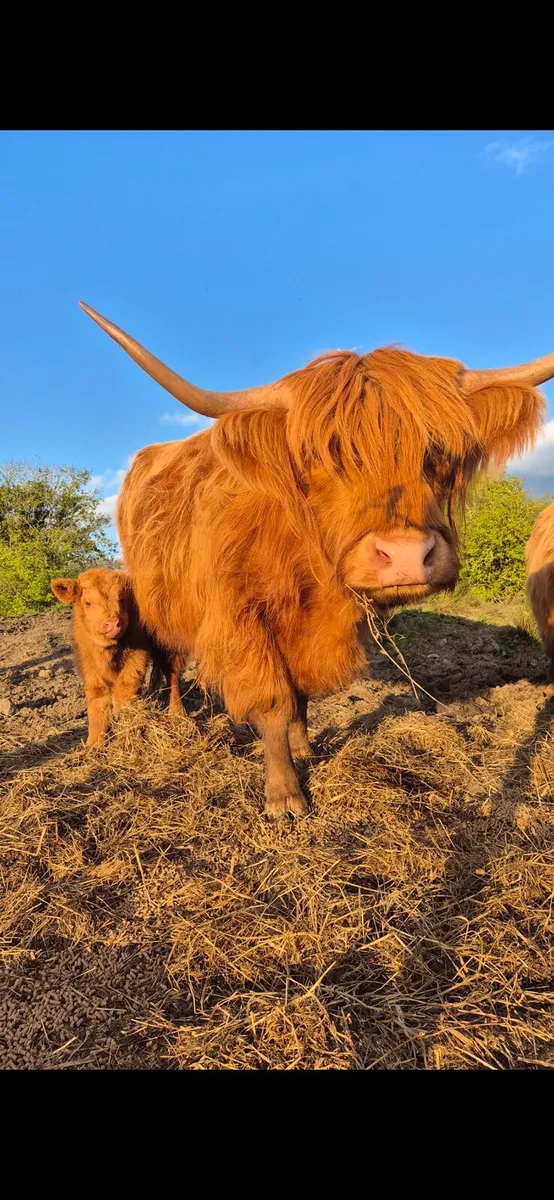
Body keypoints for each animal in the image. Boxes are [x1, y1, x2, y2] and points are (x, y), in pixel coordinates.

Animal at [51, 567, 185, 745]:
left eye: (121, 599)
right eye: (88, 602)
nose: (112, 624)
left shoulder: (136, 658)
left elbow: (124, 692)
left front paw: (127, 730)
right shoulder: (90, 669)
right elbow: (97, 704)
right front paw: (93, 745)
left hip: (167, 645)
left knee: (172, 675)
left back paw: (177, 714)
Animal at [79, 301, 550, 817]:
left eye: (439, 451)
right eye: (323, 457)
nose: (405, 554)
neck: (308, 571)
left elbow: (301, 693)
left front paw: (304, 748)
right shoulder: (243, 621)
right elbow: (274, 702)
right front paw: (285, 793)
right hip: (163, 606)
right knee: (172, 663)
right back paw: (179, 718)